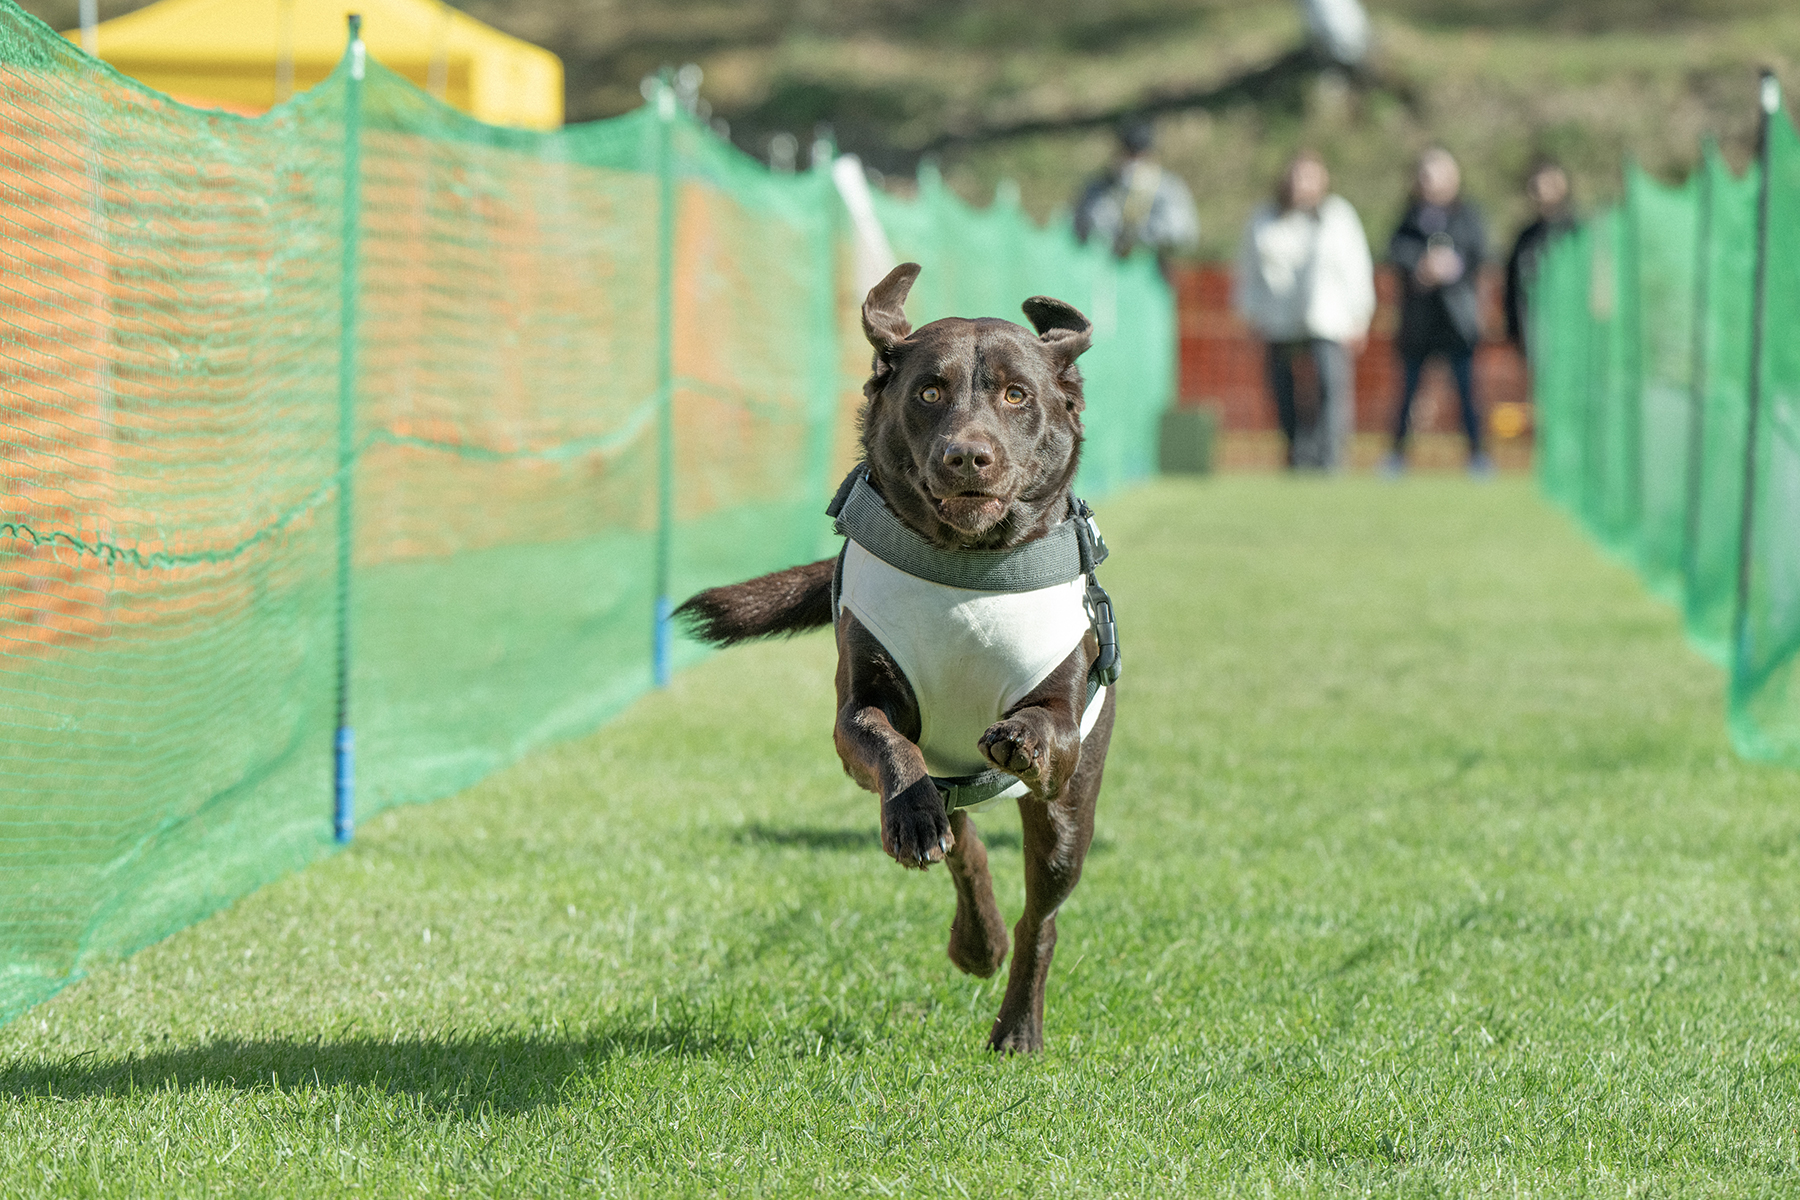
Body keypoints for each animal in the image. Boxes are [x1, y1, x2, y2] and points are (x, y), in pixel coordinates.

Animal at [676, 262, 1116, 1050]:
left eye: (1016, 394)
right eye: (929, 392)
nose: (967, 455)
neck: (967, 568)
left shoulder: (1070, 719)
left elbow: (1048, 726)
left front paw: (1022, 739)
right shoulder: (854, 715)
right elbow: (886, 743)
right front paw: (910, 817)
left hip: (1070, 820)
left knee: (1042, 915)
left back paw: (1016, 1025)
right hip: (953, 781)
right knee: (964, 841)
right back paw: (974, 935)